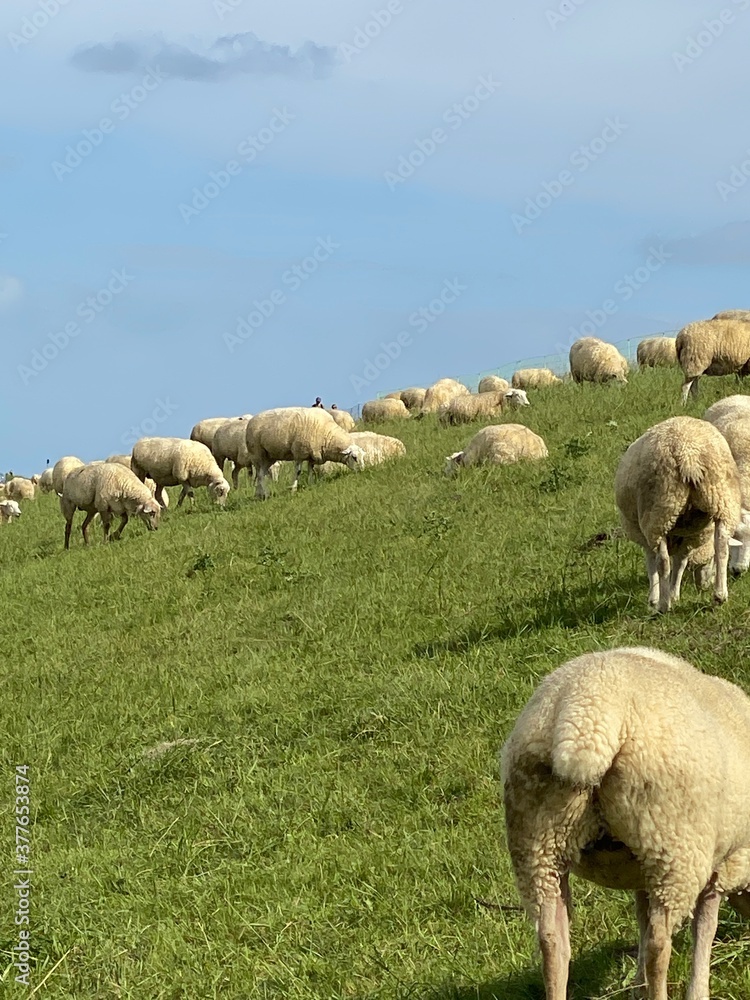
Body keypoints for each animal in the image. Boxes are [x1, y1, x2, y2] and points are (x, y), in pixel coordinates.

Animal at [502, 645, 750, 1000]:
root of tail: (587, 712)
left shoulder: (641, 872)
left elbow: (642, 915)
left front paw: (635, 984)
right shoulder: (726, 864)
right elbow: (704, 926)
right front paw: (697, 989)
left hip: (538, 840)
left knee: (552, 941)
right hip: (674, 846)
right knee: (660, 944)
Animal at [614, 415, 744, 612]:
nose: (703, 586)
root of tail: (688, 455)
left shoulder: (644, 535)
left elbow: (653, 564)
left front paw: (655, 599)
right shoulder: (689, 535)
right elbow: (681, 562)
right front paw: (674, 593)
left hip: (658, 512)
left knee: (662, 562)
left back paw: (663, 606)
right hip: (722, 499)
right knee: (721, 547)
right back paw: (719, 596)